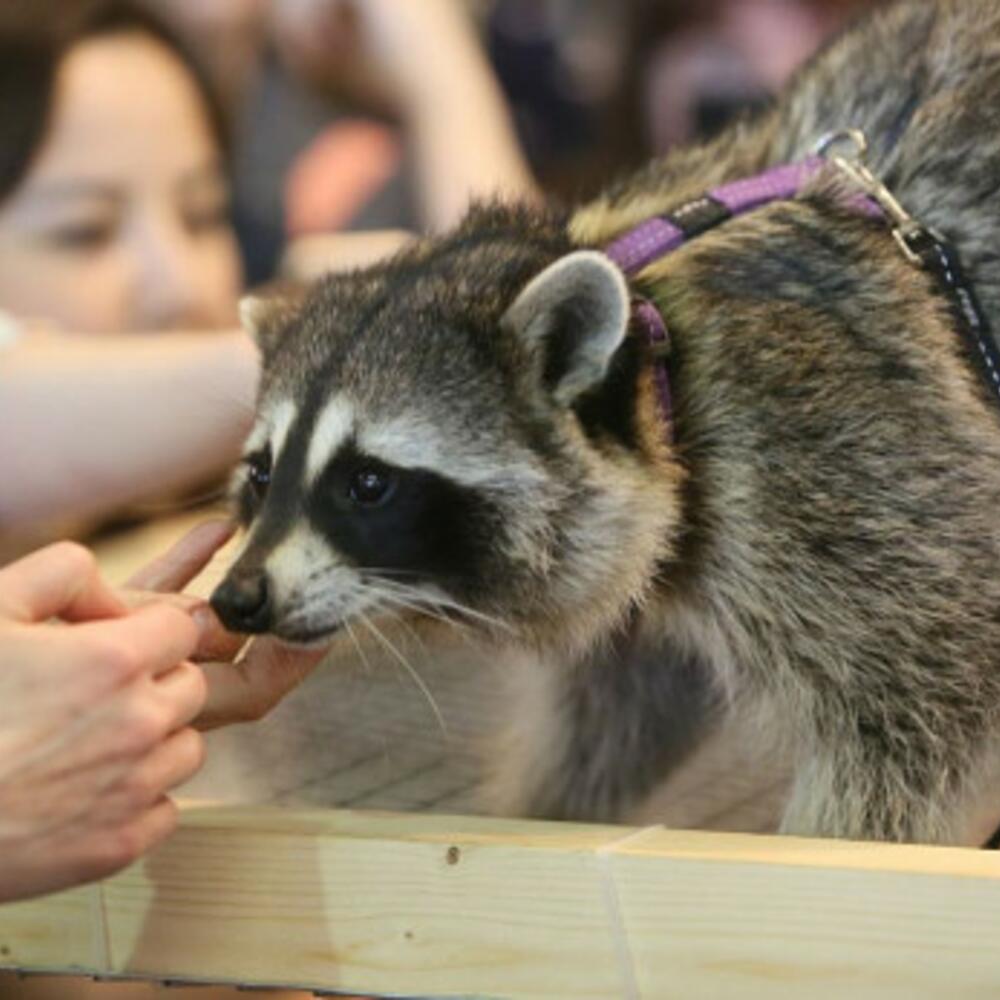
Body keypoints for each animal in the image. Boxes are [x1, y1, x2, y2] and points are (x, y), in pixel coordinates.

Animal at [213, 0, 1000, 844]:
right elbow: (627, 706)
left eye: (367, 483)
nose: (237, 597)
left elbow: (915, 701)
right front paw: (545, 808)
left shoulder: (833, 459)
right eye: (262, 475)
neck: (657, 364)